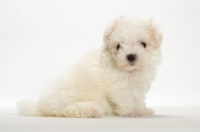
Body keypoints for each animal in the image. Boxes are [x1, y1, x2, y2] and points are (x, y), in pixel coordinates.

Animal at [16, 16, 162, 117]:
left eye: (143, 44)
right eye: (118, 46)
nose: (130, 56)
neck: (130, 71)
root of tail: (41, 105)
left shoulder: (138, 87)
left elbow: (138, 99)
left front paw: (143, 109)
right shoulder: (119, 86)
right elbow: (126, 99)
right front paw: (133, 112)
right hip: (69, 98)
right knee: (68, 110)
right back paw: (91, 110)